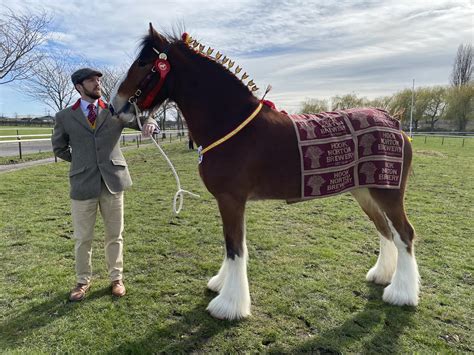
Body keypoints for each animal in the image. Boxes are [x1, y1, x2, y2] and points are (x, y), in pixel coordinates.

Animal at [113, 23, 420, 322]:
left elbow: (235, 247)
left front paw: (229, 305)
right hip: (364, 192)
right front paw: (221, 284)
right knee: (385, 230)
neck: (230, 121)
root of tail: (392, 121)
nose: (117, 106)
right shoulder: (229, 201)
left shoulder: (231, 199)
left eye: (143, 63)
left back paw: (401, 293)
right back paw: (382, 275)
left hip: (388, 193)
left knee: (404, 233)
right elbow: (232, 244)